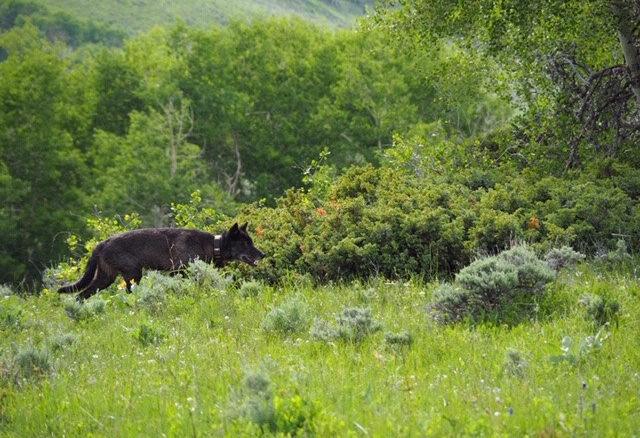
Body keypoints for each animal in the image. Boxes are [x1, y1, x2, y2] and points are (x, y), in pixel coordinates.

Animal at [57, 222, 262, 302]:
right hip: (133, 275)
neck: (212, 245)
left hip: (104, 279)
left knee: (80, 296)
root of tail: (101, 243)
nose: (264, 254)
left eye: (251, 241)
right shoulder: (179, 272)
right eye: (246, 243)